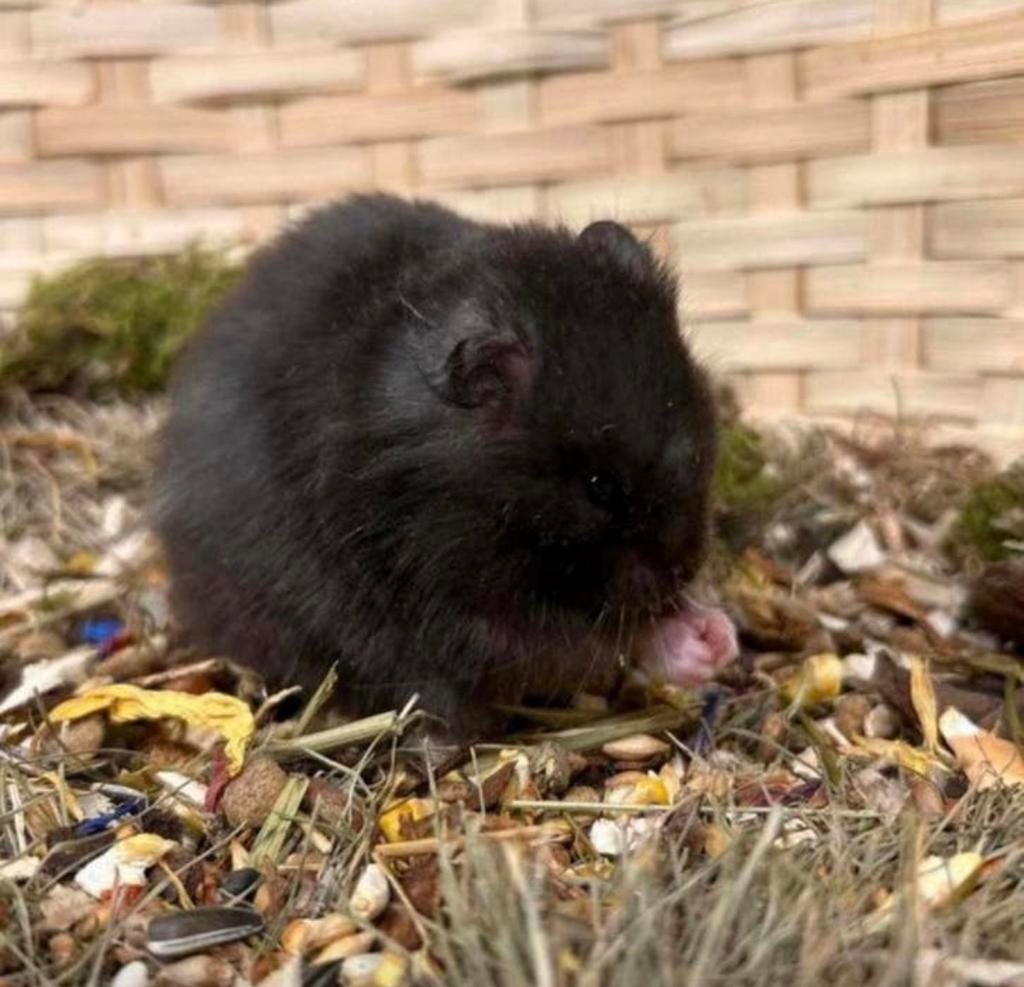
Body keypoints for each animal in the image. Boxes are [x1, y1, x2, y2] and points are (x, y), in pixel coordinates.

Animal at [152, 194, 737, 739]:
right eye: (601, 488)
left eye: (697, 448)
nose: (684, 570)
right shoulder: (448, 590)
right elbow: (585, 639)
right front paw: (699, 643)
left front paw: (719, 632)